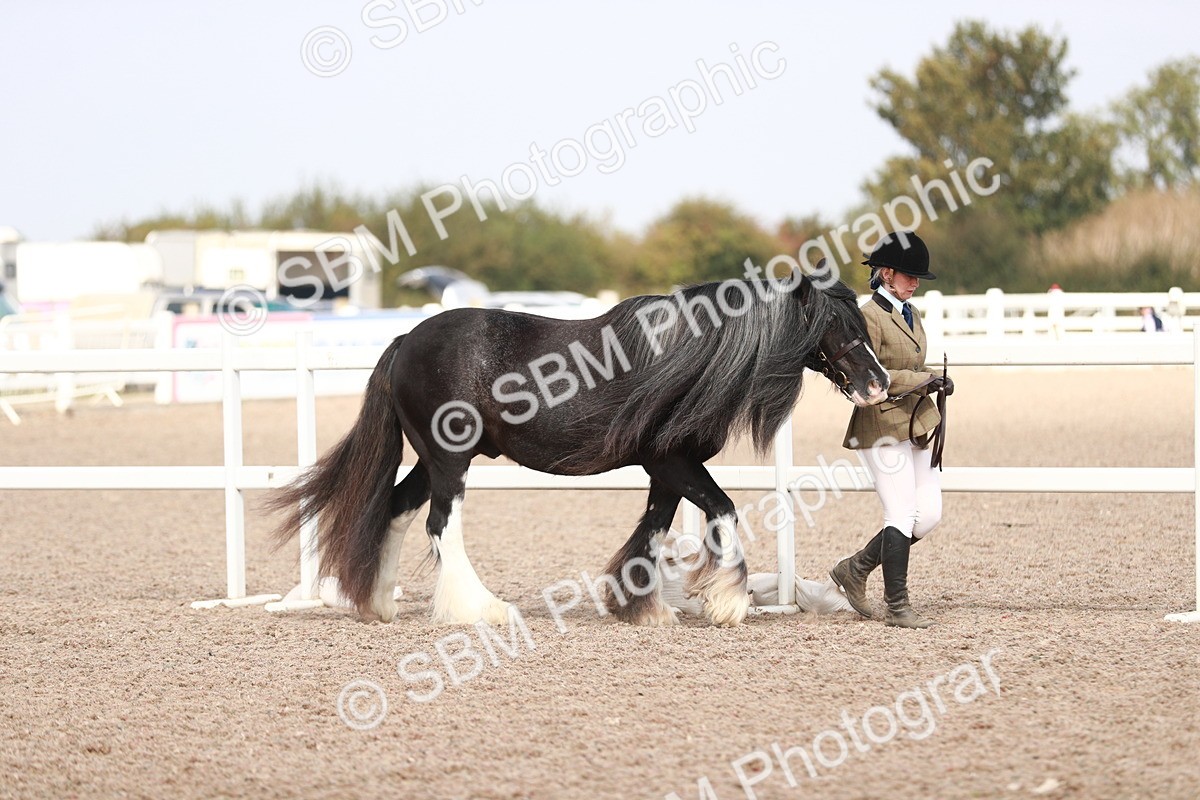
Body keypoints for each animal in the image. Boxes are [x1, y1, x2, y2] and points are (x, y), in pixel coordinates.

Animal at [269, 268, 890, 628]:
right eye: (838, 324)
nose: (879, 382)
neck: (689, 357)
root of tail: (405, 340)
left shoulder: (665, 470)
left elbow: (654, 529)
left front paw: (640, 605)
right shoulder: (672, 461)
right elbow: (724, 510)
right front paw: (728, 602)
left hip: (431, 458)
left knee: (399, 511)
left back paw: (380, 602)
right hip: (449, 460)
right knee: (442, 524)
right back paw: (482, 610)